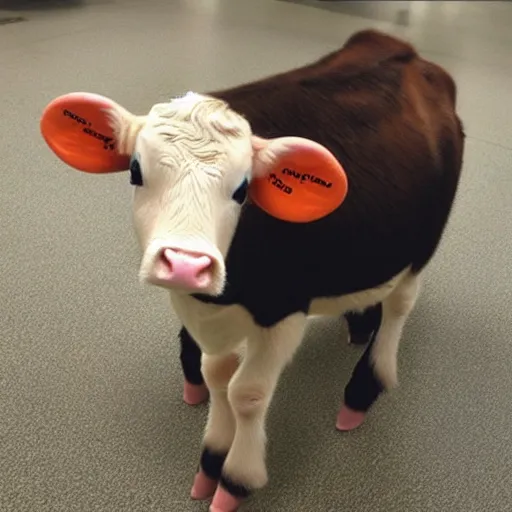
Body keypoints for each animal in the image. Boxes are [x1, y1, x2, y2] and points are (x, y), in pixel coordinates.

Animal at [103, 30, 464, 512]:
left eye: (242, 189)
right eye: (135, 171)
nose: (185, 264)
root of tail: (399, 47)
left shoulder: (284, 310)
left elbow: (246, 393)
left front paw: (235, 479)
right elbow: (216, 374)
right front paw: (211, 459)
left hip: (421, 246)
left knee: (400, 306)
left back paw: (363, 391)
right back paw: (359, 324)